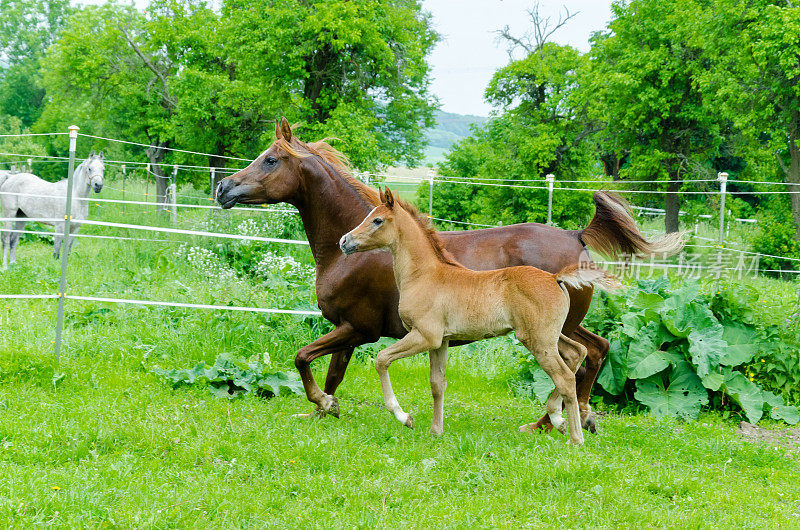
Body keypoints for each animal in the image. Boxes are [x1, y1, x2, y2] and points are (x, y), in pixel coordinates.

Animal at [340, 188, 620, 444]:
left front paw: (405, 417)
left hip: (538, 340)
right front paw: (435, 431)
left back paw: (574, 437)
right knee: (576, 354)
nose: (344, 241)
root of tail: (555, 278)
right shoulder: (441, 342)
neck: (424, 275)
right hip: (550, 336)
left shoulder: (425, 336)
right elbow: (437, 384)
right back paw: (558, 418)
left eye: (377, 220)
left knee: (565, 377)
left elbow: (381, 359)